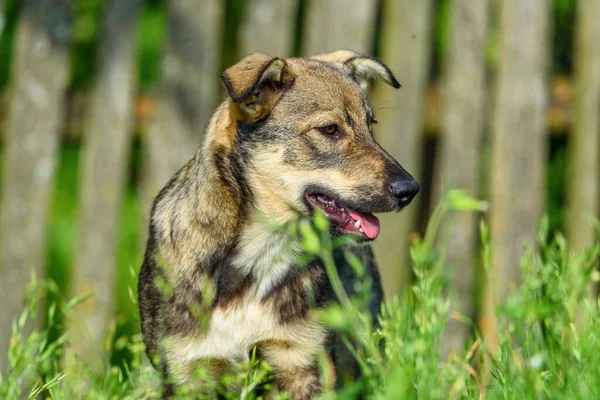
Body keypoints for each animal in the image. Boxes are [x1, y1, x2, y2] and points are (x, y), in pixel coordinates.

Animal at [138, 49, 420, 396]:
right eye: (330, 129)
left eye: (371, 125)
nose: (410, 189)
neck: (260, 253)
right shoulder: (187, 373)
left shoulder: (301, 363)